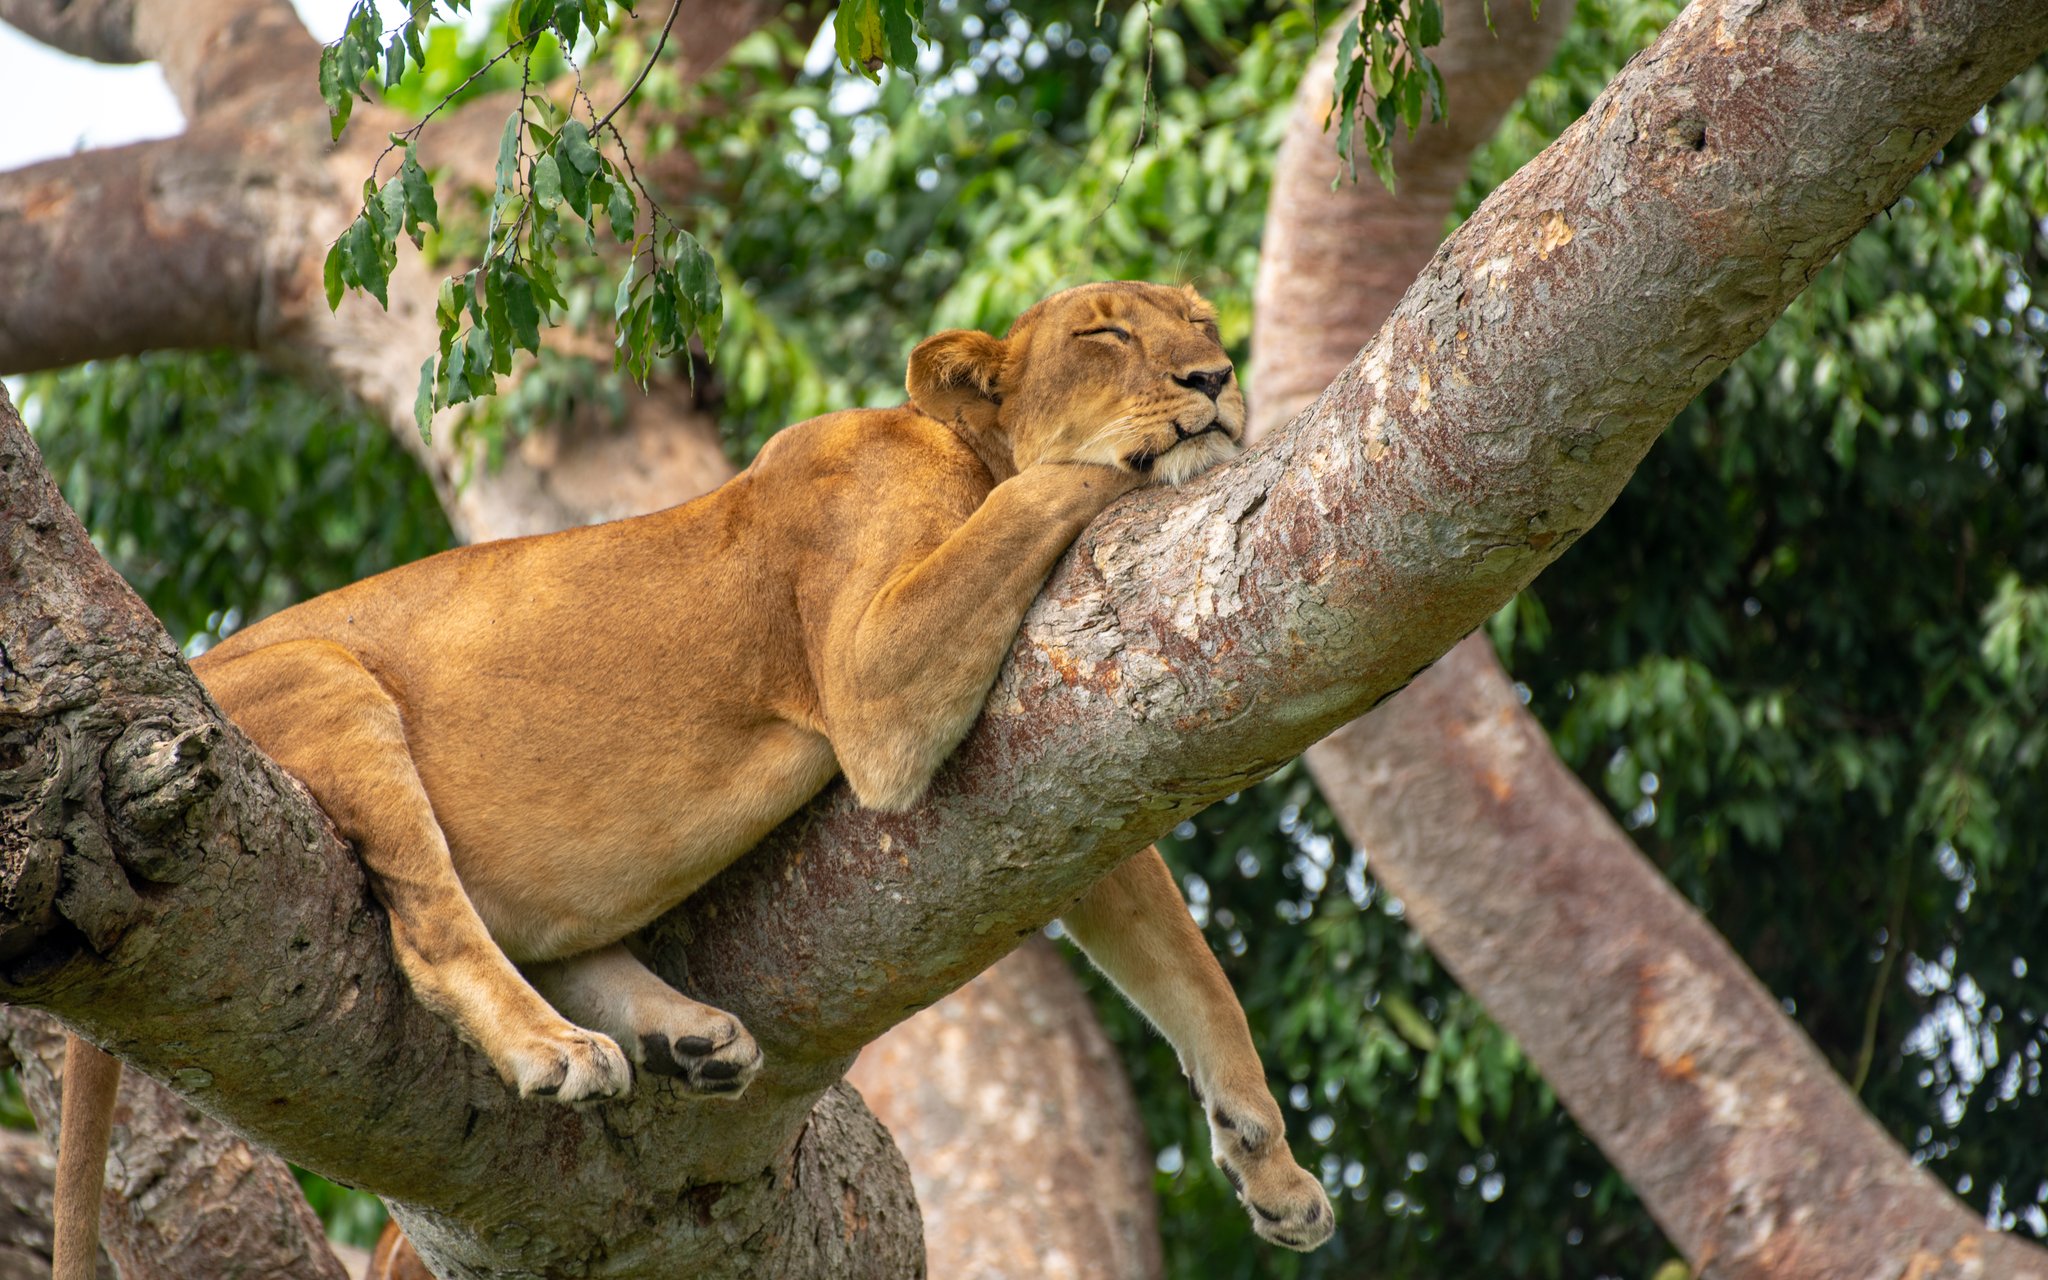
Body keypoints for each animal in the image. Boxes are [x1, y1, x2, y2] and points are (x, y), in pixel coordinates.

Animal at [53, 281, 1334, 1276]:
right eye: (1106, 334)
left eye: (1197, 318)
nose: (1216, 372)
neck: (956, 446)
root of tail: (185, 670)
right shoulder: (873, 684)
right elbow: (1046, 489)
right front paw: (1145, 448)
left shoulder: (1053, 768)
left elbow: (1189, 973)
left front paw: (1271, 1167)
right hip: (325, 678)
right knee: (433, 927)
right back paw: (555, 1049)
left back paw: (688, 1036)